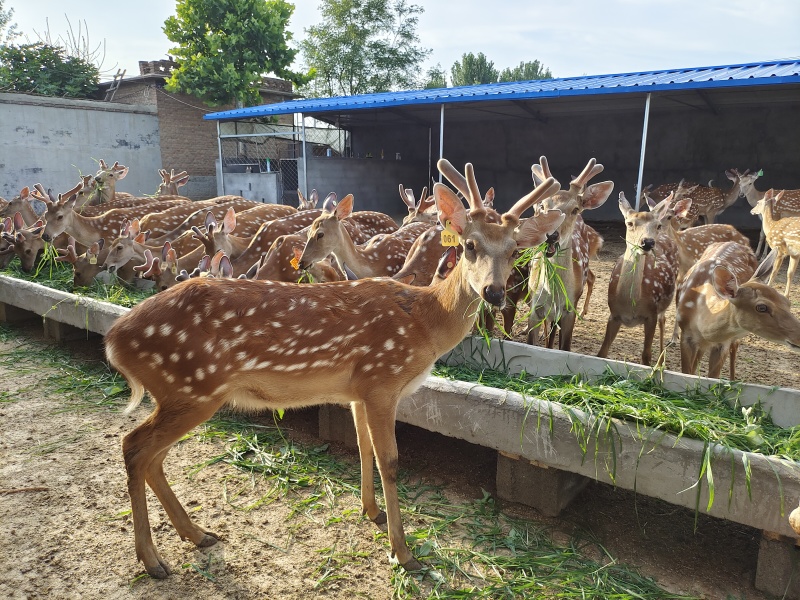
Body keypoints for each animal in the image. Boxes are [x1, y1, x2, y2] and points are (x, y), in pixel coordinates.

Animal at [103, 157, 564, 579]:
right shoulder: (382, 380)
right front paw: (404, 553)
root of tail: (115, 339)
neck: (424, 322)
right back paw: (153, 560)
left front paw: (371, 512)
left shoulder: (358, 390)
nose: (494, 291)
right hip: (191, 387)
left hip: (181, 394)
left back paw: (197, 535)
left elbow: (362, 448)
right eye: (469, 245)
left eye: (514, 250)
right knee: (134, 446)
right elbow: (390, 461)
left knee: (152, 456)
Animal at [526, 156, 614, 350]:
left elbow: (564, 347)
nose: (551, 235)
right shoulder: (535, 308)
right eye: (543, 206)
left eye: (574, 209)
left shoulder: (569, 309)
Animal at [598, 192, 680, 365]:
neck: (631, 305)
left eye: (657, 225)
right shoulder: (614, 315)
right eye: (629, 223)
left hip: (664, 303)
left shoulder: (651, 315)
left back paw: (661, 362)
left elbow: (646, 356)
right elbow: (602, 352)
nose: (647, 242)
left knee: (663, 320)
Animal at [677, 244, 800, 378]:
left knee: (735, 347)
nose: (798, 337)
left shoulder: (723, 343)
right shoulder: (686, 334)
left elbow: (713, 377)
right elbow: (687, 373)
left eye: (787, 302)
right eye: (762, 307)